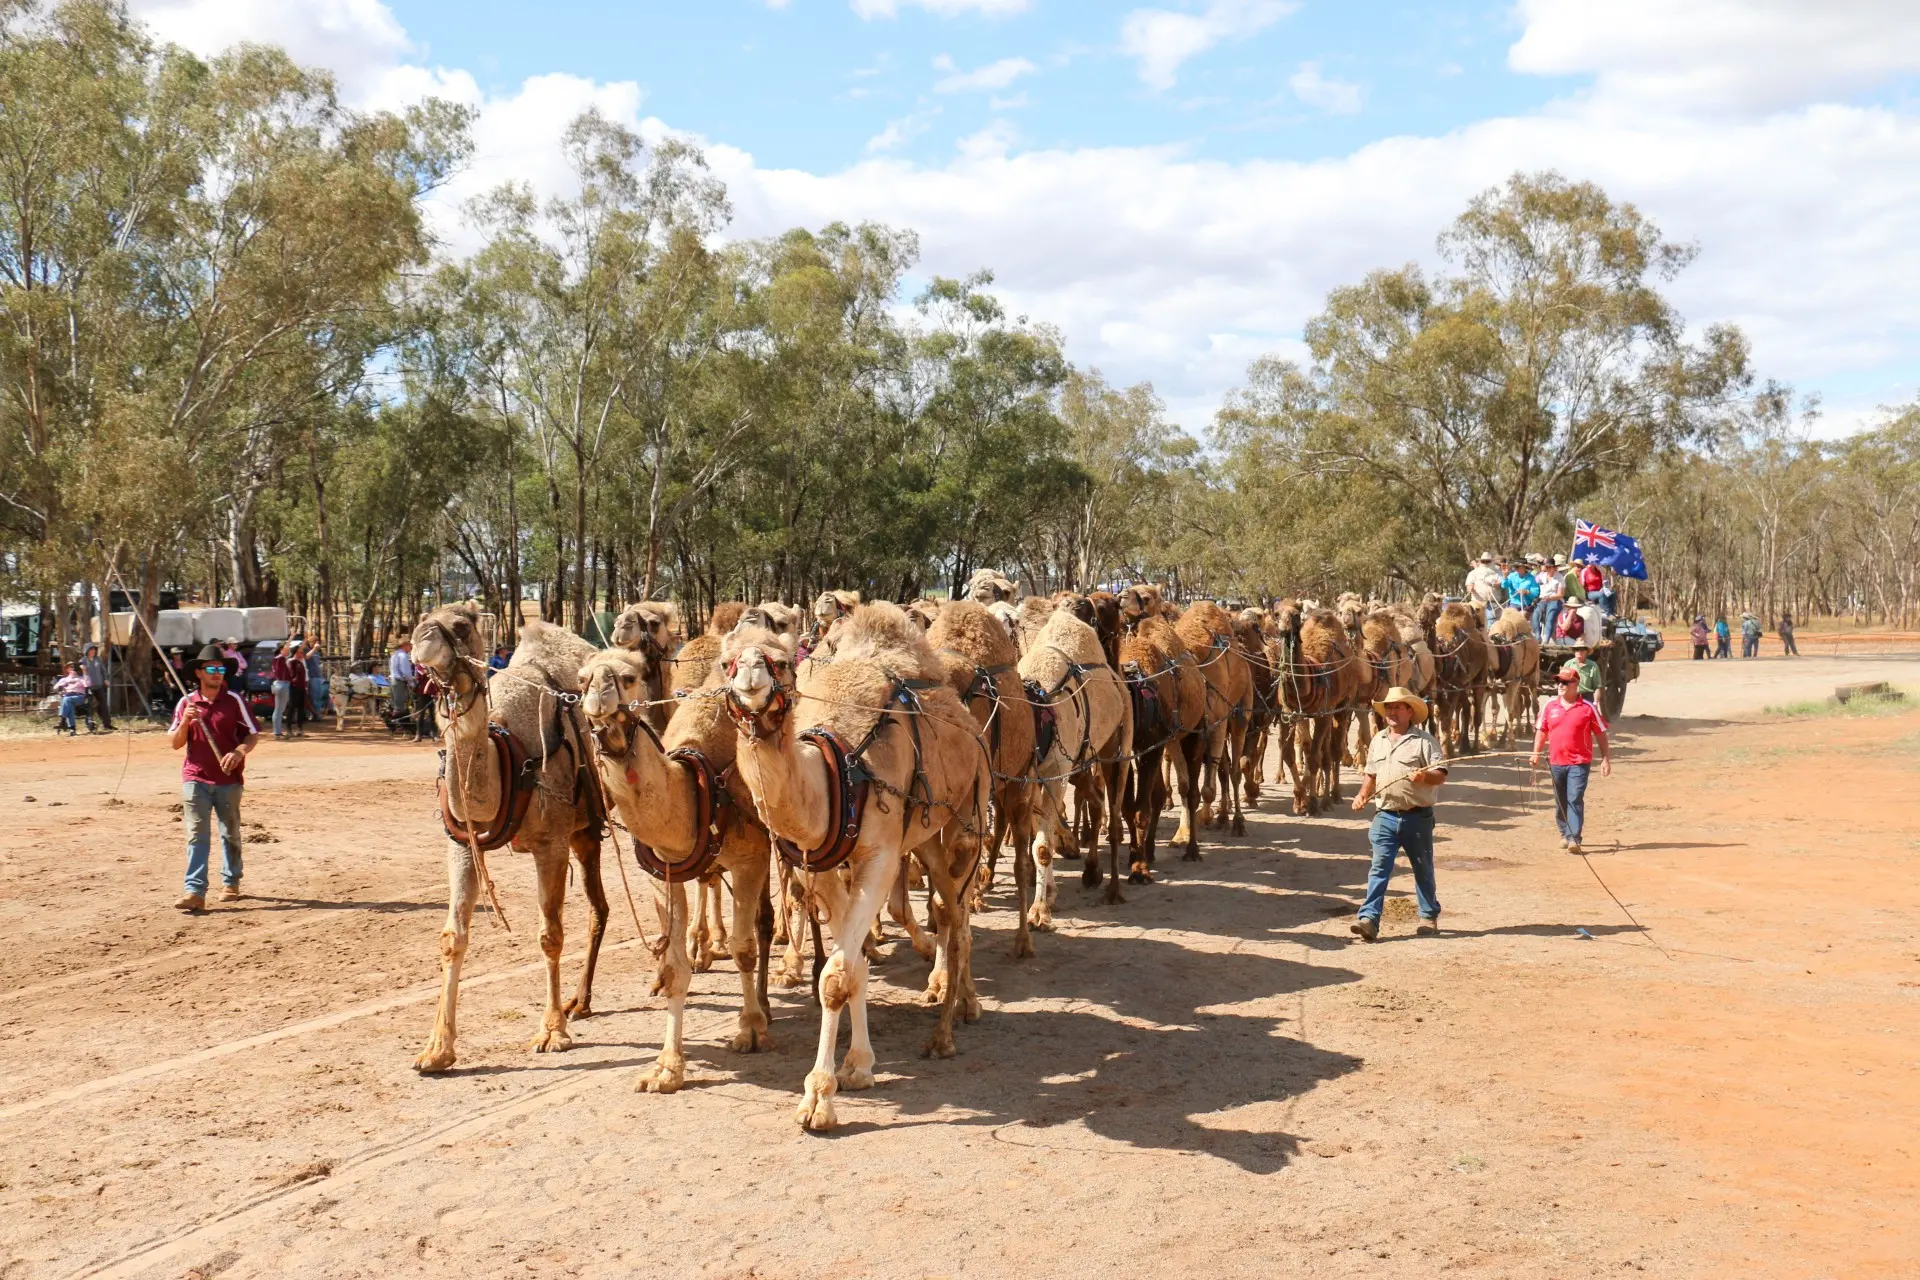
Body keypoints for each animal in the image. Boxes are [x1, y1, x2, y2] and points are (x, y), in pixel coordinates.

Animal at [410, 605, 609, 1074]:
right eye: (421, 618)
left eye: (462, 624)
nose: (422, 639)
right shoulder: (463, 844)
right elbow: (452, 938)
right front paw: (436, 1049)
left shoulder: (551, 842)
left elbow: (550, 935)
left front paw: (552, 1033)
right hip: (585, 832)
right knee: (600, 908)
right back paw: (581, 1002)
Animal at [577, 647, 774, 1093]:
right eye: (580, 679)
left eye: (629, 677)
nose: (598, 693)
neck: (698, 792)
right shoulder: (662, 876)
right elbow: (674, 967)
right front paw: (666, 1067)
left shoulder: (751, 860)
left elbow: (744, 948)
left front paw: (751, 1029)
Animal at [722, 603, 992, 1131]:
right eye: (726, 662)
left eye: (780, 661)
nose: (750, 676)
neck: (836, 774)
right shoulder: (822, 865)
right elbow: (854, 967)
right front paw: (858, 1067)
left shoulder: (879, 857)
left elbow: (835, 977)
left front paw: (818, 1099)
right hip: (924, 838)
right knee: (948, 907)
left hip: (967, 813)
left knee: (958, 917)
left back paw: (951, 1023)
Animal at [1019, 606, 1134, 907]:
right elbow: (1038, 833)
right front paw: (1048, 893)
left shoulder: (1055, 773)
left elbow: (1042, 844)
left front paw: (1039, 909)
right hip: (1081, 763)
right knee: (1095, 801)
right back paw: (1092, 871)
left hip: (1117, 747)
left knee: (1113, 812)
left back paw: (1113, 889)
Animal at [1173, 599, 1251, 837]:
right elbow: (1184, 784)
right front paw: (1183, 831)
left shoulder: (1217, 720)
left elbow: (1207, 788)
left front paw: (1204, 817)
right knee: (1224, 768)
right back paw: (1223, 816)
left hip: (1239, 712)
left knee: (1234, 770)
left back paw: (1237, 821)